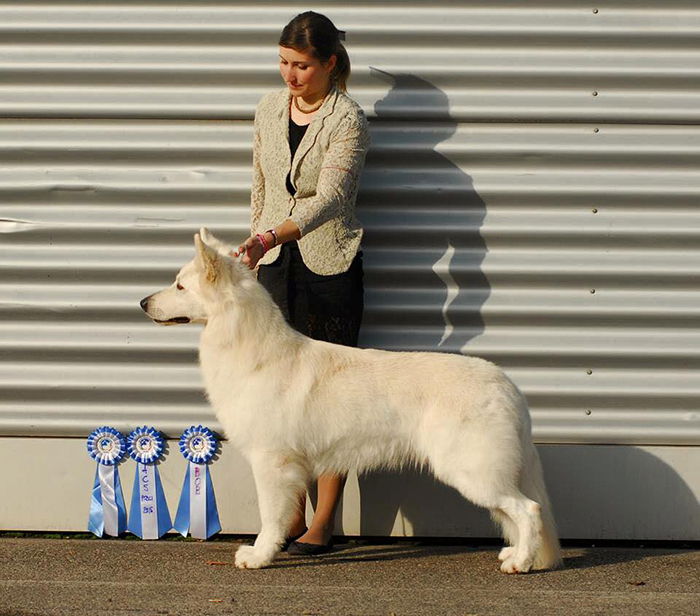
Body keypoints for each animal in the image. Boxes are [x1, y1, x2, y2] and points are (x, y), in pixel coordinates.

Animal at [141, 230, 564, 572]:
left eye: (179, 287)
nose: (143, 302)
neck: (250, 348)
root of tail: (508, 385)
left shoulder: (271, 463)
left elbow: (270, 517)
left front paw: (260, 556)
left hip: (472, 472)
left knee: (530, 510)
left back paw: (522, 564)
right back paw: (516, 554)